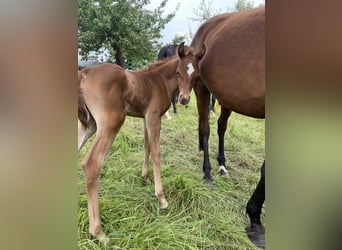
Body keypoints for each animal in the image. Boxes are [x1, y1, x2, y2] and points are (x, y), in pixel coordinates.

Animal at [77, 57, 180, 242]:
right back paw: (99, 232)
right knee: (92, 164)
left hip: (88, 125)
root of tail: (84, 73)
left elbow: (147, 146)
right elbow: (156, 152)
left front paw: (145, 177)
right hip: (111, 122)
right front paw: (162, 199)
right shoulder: (154, 117)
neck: (160, 80)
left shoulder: (145, 117)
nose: (185, 98)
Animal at [175, 7, 266, 248]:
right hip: (202, 88)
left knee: (220, 127)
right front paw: (255, 221)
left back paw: (222, 165)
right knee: (206, 128)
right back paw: (207, 174)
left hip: (227, 98)